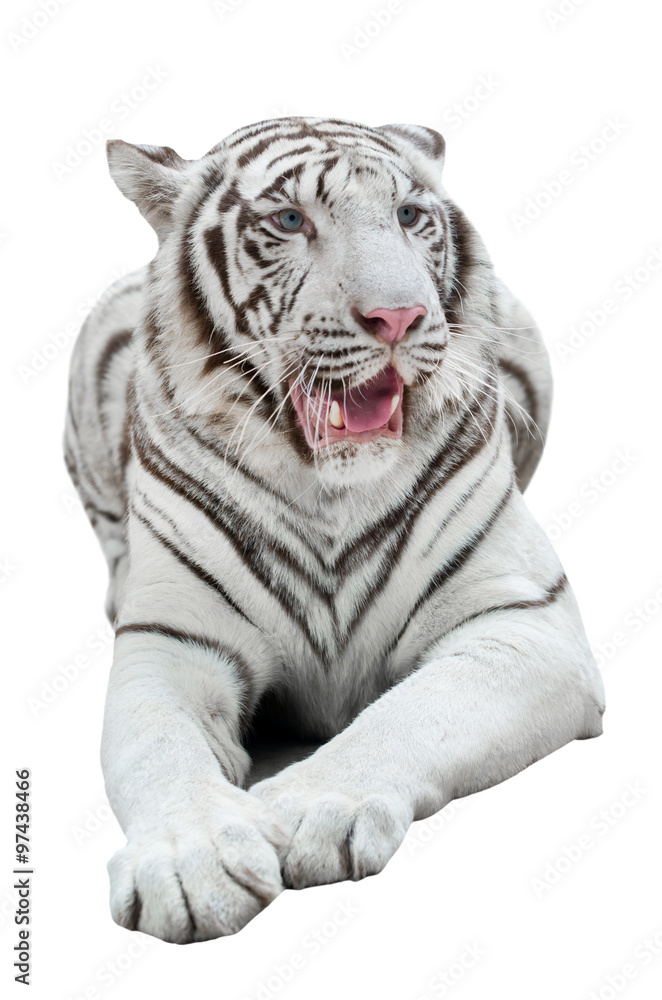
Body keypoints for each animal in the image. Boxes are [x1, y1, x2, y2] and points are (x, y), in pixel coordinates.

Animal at [64, 115, 605, 944]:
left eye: (410, 216)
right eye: (291, 221)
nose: (399, 318)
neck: (330, 490)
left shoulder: (523, 622)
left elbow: (409, 715)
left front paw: (303, 811)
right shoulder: (172, 642)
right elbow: (155, 748)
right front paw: (191, 864)